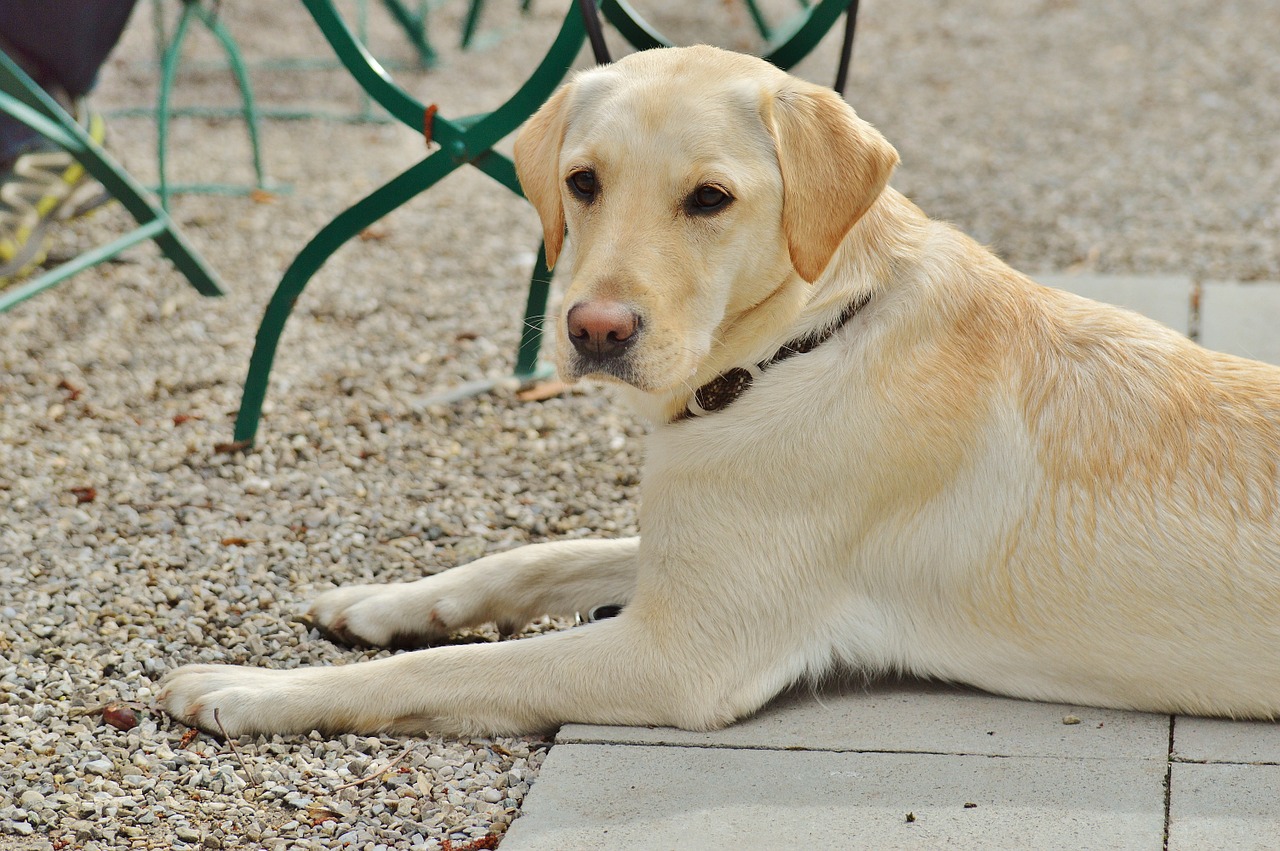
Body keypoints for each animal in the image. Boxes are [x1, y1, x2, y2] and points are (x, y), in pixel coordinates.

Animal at [160, 47, 1280, 737]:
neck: (807, 339)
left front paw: (249, 689)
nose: (594, 330)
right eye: (582, 182)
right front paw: (380, 601)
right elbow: (536, 554)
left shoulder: (678, 652)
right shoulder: (684, 551)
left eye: (709, 198)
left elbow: (432, 675)